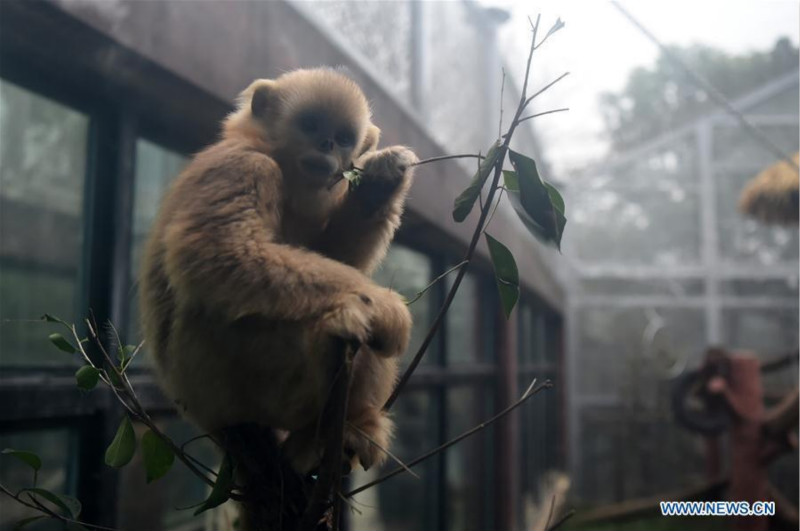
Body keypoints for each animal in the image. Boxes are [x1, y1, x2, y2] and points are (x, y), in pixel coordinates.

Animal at [142, 69, 418, 474]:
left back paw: (348, 429)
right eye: (311, 124)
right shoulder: (246, 167)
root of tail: (203, 419)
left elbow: (335, 256)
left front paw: (379, 185)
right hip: (235, 381)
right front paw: (387, 309)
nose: (327, 142)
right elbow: (219, 251)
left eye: (344, 138)